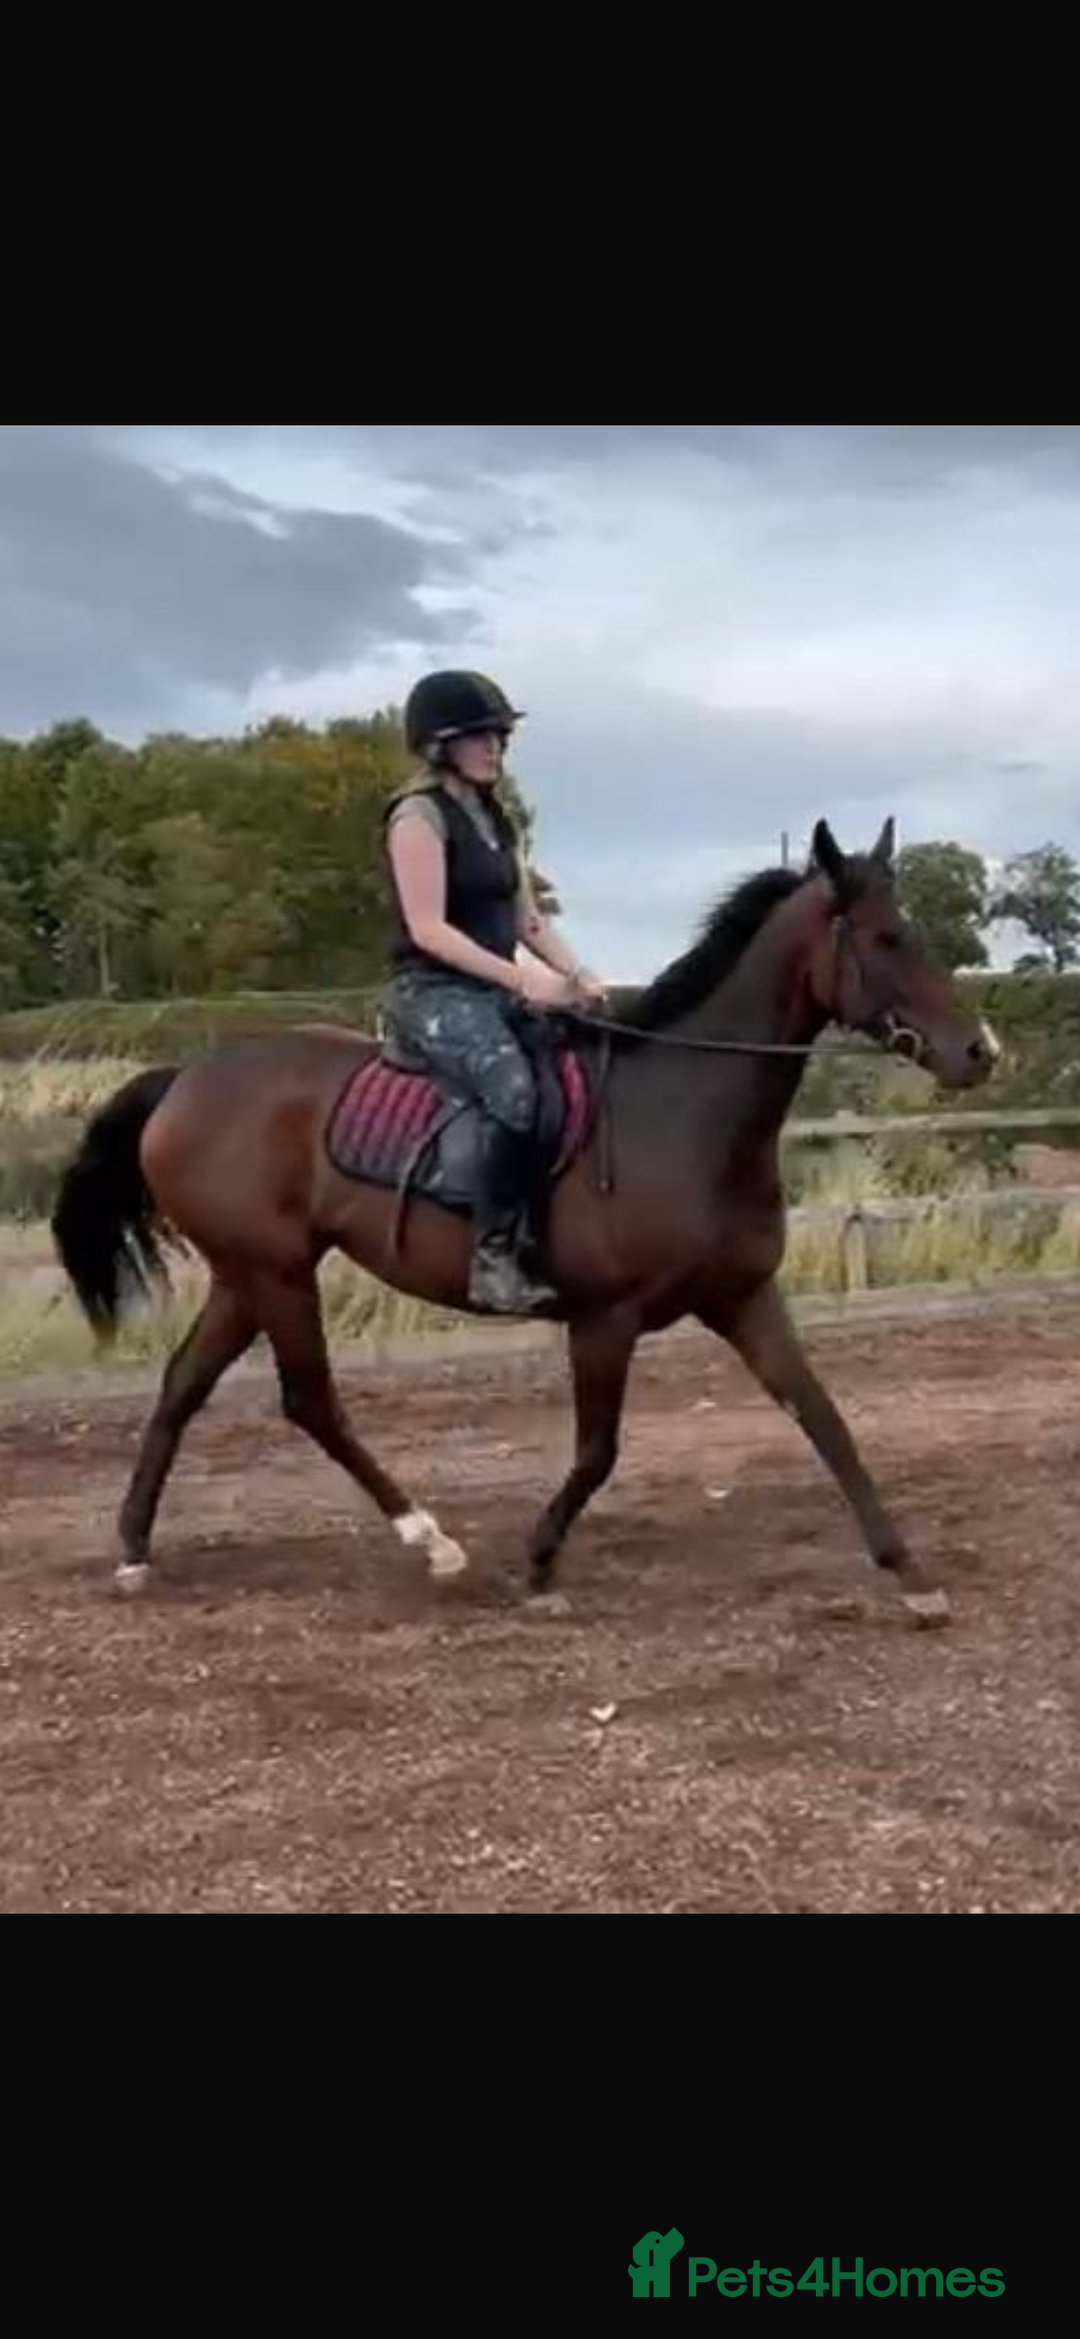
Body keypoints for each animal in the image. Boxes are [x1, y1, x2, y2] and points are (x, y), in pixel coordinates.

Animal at [50, 818, 997, 1622]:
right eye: (886, 938)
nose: (979, 1051)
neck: (682, 1111)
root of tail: (185, 1079)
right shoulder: (605, 1318)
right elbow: (598, 1450)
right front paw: (540, 1565)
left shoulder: (742, 1297)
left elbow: (824, 1418)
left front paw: (910, 1573)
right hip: (276, 1272)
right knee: (309, 1399)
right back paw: (430, 1541)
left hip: (246, 1275)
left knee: (184, 1384)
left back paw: (135, 1548)